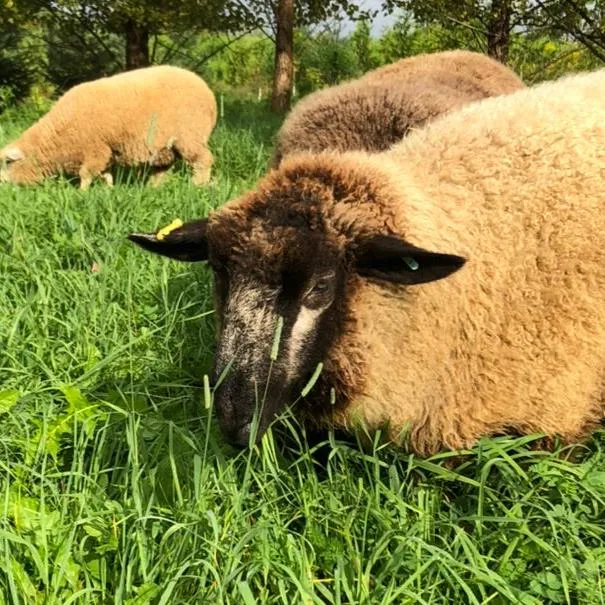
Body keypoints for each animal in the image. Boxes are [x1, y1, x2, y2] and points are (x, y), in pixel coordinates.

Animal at [0, 64, 217, 188]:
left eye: (7, 163)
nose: (3, 186)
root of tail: (207, 90)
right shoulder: (105, 151)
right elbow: (105, 174)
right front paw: (109, 191)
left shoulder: (96, 149)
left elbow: (86, 174)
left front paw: (82, 193)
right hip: (164, 148)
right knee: (162, 170)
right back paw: (152, 188)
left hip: (190, 136)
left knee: (203, 160)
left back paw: (198, 185)